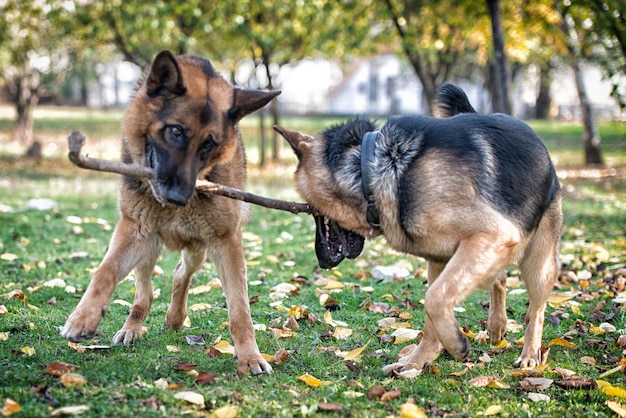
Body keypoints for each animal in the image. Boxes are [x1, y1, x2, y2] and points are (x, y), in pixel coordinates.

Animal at [62, 50, 280, 374]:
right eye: (176, 131)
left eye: (209, 144)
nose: (178, 197)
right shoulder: (133, 229)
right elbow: (105, 271)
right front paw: (83, 318)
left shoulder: (226, 241)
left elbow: (240, 307)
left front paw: (250, 356)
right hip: (148, 245)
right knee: (144, 292)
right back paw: (132, 327)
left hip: (198, 247)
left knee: (181, 273)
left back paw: (175, 317)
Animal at [272, 84, 560, 372]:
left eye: (310, 209)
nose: (320, 260)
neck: (374, 168)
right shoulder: (445, 258)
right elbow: (433, 310)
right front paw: (420, 359)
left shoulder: (493, 235)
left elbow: (435, 298)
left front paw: (455, 343)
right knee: (498, 278)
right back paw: (493, 327)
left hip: (537, 263)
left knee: (535, 310)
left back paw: (530, 353)